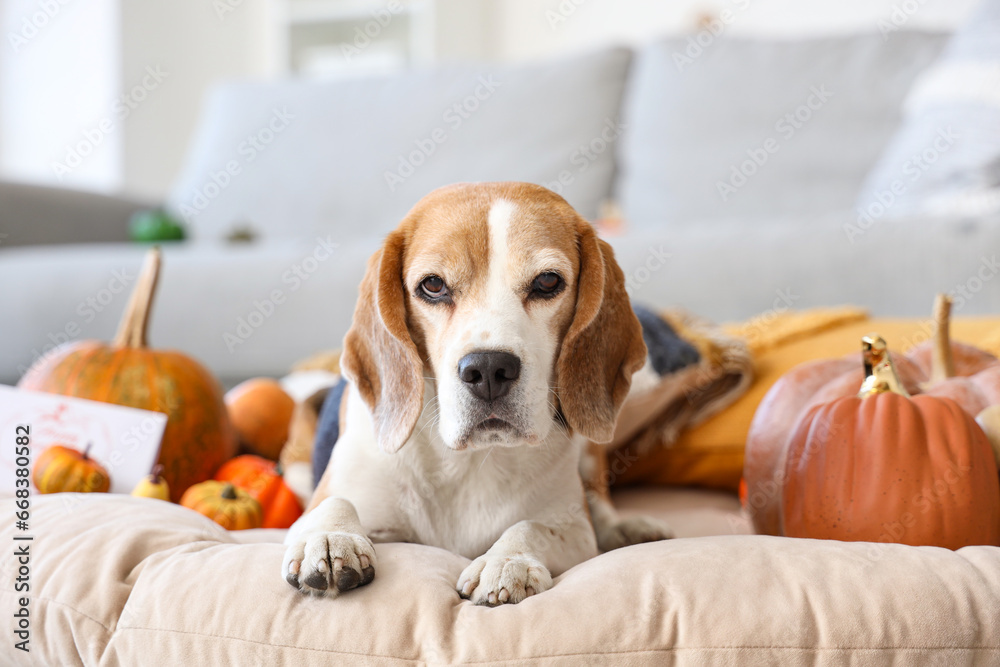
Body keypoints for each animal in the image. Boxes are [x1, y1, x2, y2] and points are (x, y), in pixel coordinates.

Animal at [284, 181, 672, 604]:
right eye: (433, 285)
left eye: (547, 281)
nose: (488, 369)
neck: (469, 461)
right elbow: (333, 502)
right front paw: (330, 536)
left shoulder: (575, 532)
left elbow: (532, 526)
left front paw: (507, 561)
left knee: (600, 501)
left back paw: (625, 528)